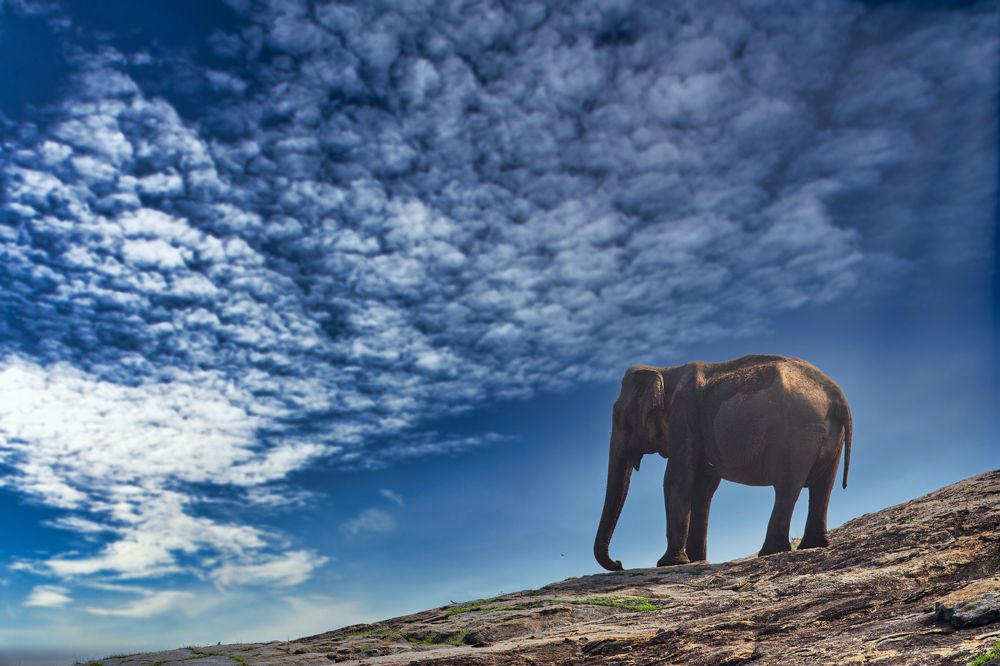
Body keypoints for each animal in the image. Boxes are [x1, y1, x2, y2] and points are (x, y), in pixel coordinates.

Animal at [594, 354, 852, 571]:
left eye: (622, 419)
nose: (619, 563)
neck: (665, 371)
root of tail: (838, 395)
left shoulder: (684, 416)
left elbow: (677, 479)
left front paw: (669, 563)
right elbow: (704, 487)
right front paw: (696, 560)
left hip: (795, 436)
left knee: (787, 488)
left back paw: (771, 551)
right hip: (829, 439)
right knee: (822, 488)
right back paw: (813, 545)